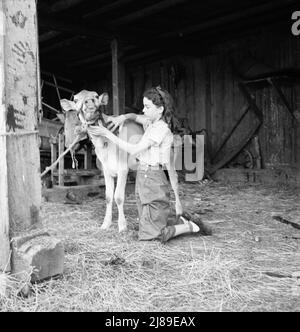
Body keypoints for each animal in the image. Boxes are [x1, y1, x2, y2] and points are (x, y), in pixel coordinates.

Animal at [60, 89, 183, 232]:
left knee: (174, 181)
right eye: (76, 100)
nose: (89, 102)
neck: (104, 144)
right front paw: (106, 224)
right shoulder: (106, 169)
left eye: (96, 96)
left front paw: (122, 225)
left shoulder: (123, 168)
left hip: (169, 157)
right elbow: (108, 196)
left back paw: (179, 212)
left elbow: (118, 197)